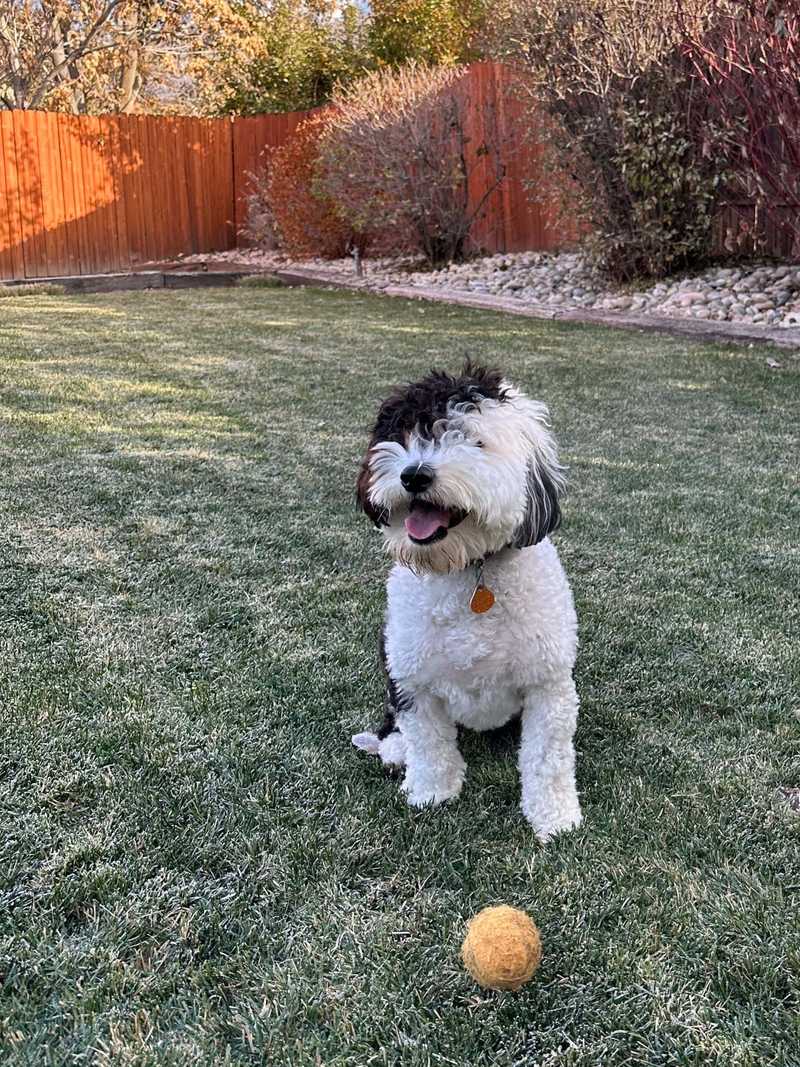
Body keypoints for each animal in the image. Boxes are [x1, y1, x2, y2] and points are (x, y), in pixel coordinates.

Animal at [352, 364, 584, 840]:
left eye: (474, 440)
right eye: (406, 433)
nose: (414, 475)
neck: (466, 569)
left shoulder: (548, 685)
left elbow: (547, 759)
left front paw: (554, 818)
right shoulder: (412, 681)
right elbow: (429, 745)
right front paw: (431, 794)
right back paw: (393, 750)